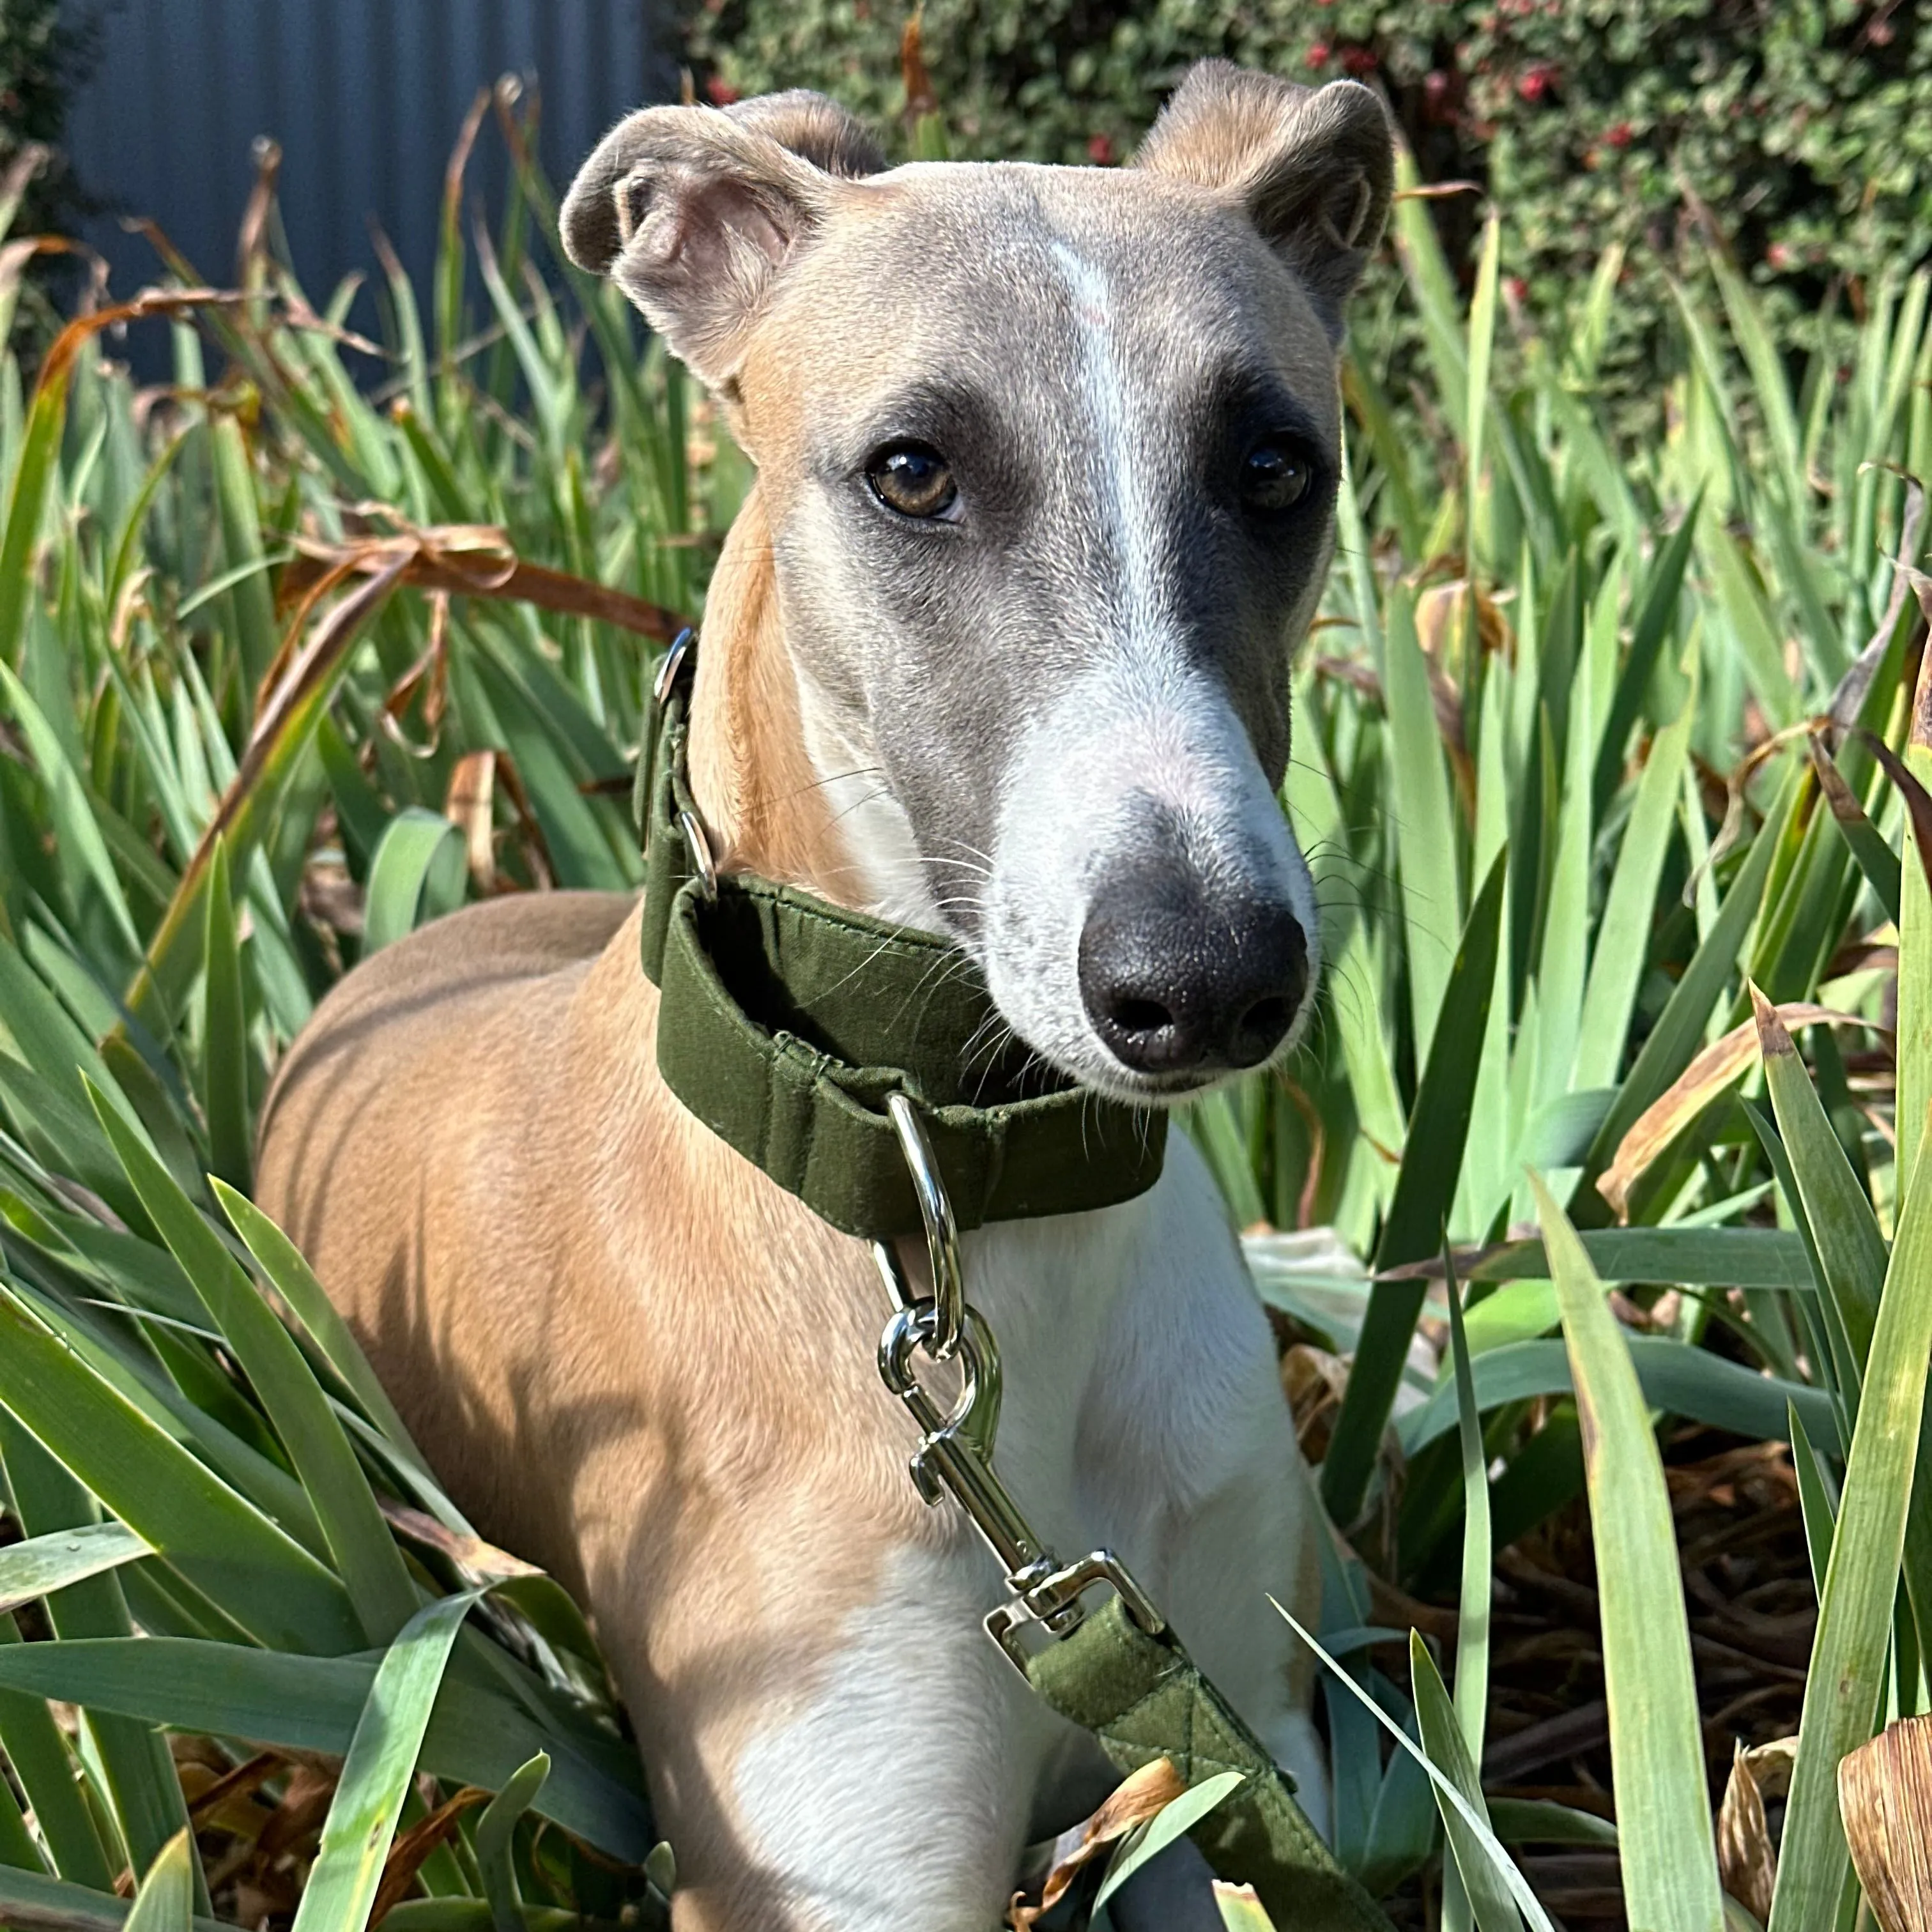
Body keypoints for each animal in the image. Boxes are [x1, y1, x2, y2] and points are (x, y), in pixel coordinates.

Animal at [257, 60, 1391, 1932]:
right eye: (914, 472)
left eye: (1277, 465)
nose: (1210, 981)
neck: (986, 1222)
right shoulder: (830, 1864)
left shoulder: (1240, 1752)